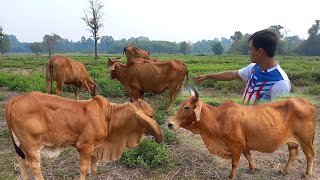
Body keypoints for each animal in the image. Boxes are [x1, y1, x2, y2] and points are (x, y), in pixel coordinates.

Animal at [6, 92, 162, 179]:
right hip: (32, 145)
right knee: (33, 166)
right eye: (151, 115)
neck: (108, 117)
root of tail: (15, 99)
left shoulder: (96, 147)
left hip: (22, 144)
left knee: (21, 161)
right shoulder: (84, 147)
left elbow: (94, 164)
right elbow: (83, 168)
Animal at [169, 88, 316, 180]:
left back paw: (307, 174)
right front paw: (252, 169)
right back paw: (284, 170)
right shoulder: (244, 144)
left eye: (187, 107)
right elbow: (249, 156)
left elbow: (234, 163)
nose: (170, 124)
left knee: (310, 155)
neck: (219, 119)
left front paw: (230, 177)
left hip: (306, 140)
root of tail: (307, 102)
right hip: (292, 142)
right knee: (293, 154)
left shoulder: (235, 145)